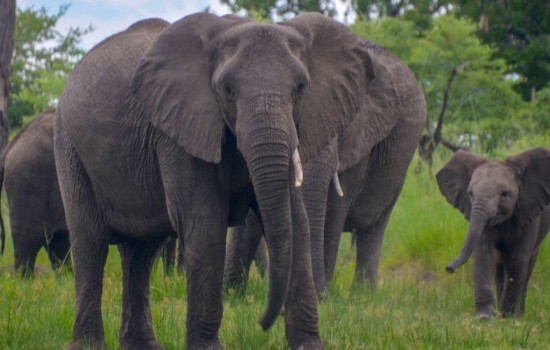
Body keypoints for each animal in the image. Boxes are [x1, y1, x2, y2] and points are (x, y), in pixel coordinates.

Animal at [55, 12, 380, 350]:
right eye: (227, 89)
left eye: (301, 87)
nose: (262, 322)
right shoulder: (179, 129)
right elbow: (205, 221)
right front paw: (209, 348)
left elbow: (296, 222)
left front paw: (310, 346)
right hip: (69, 147)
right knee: (91, 243)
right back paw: (88, 344)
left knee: (141, 253)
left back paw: (143, 346)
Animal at [224, 39, 426, 296]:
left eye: (339, 121)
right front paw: (232, 291)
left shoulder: (360, 139)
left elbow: (335, 210)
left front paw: (321, 295)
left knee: (373, 227)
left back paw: (362, 294)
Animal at [440, 146, 550, 318]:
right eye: (470, 193)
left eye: (505, 193)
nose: (448, 269)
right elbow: (483, 253)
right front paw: (485, 317)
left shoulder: (528, 217)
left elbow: (518, 259)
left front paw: (508, 316)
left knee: (527, 268)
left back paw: (519, 315)